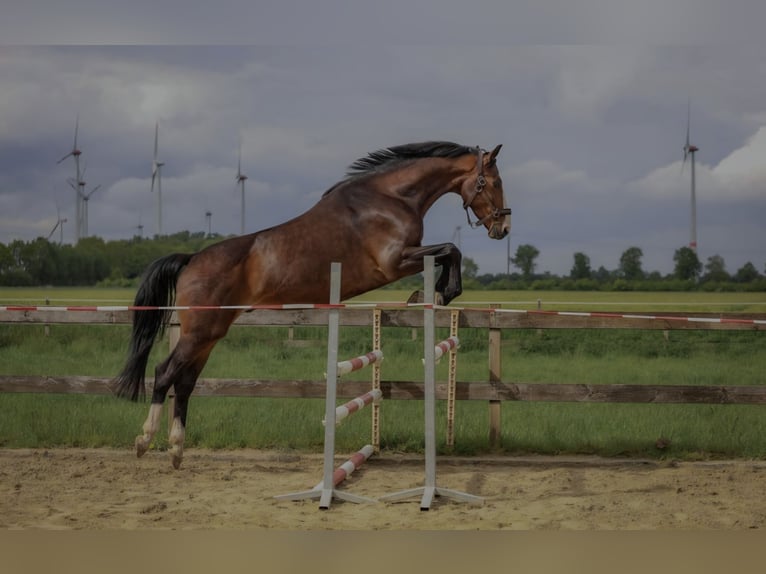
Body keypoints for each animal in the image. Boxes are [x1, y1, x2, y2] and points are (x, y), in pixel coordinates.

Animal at [114, 140, 511, 468]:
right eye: (493, 182)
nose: (502, 229)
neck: (390, 198)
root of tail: (192, 260)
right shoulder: (395, 261)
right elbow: (451, 249)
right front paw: (437, 294)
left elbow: (448, 252)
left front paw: (431, 294)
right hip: (199, 332)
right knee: (165, 373)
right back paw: (145, 441)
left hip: (210, 334)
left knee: (185, 382)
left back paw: (177, 450)